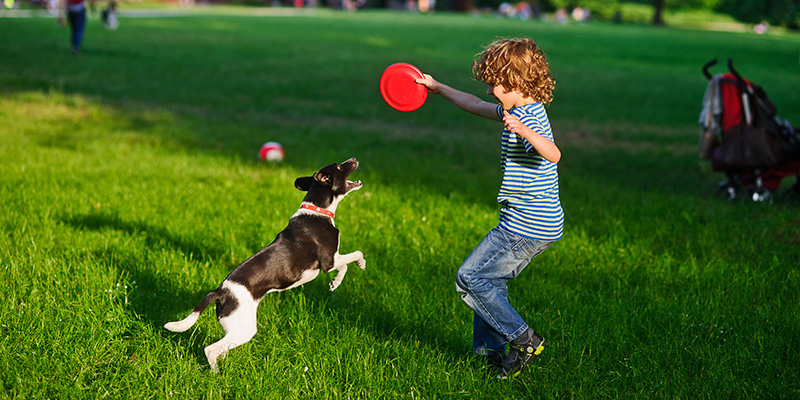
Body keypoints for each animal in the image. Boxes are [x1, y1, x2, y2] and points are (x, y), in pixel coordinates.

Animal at [166, 157, 366, 372]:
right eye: (339, 166)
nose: (354, 159)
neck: (317, 210)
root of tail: (220, 292)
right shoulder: (329, 260)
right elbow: (355, 255)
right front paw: (360, 265)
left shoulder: (332, 260)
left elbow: (344, 266)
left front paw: (334, 283)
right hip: (244, 329)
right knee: (210, 349)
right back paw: (217, 374)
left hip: (234, 328)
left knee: (221, 348)